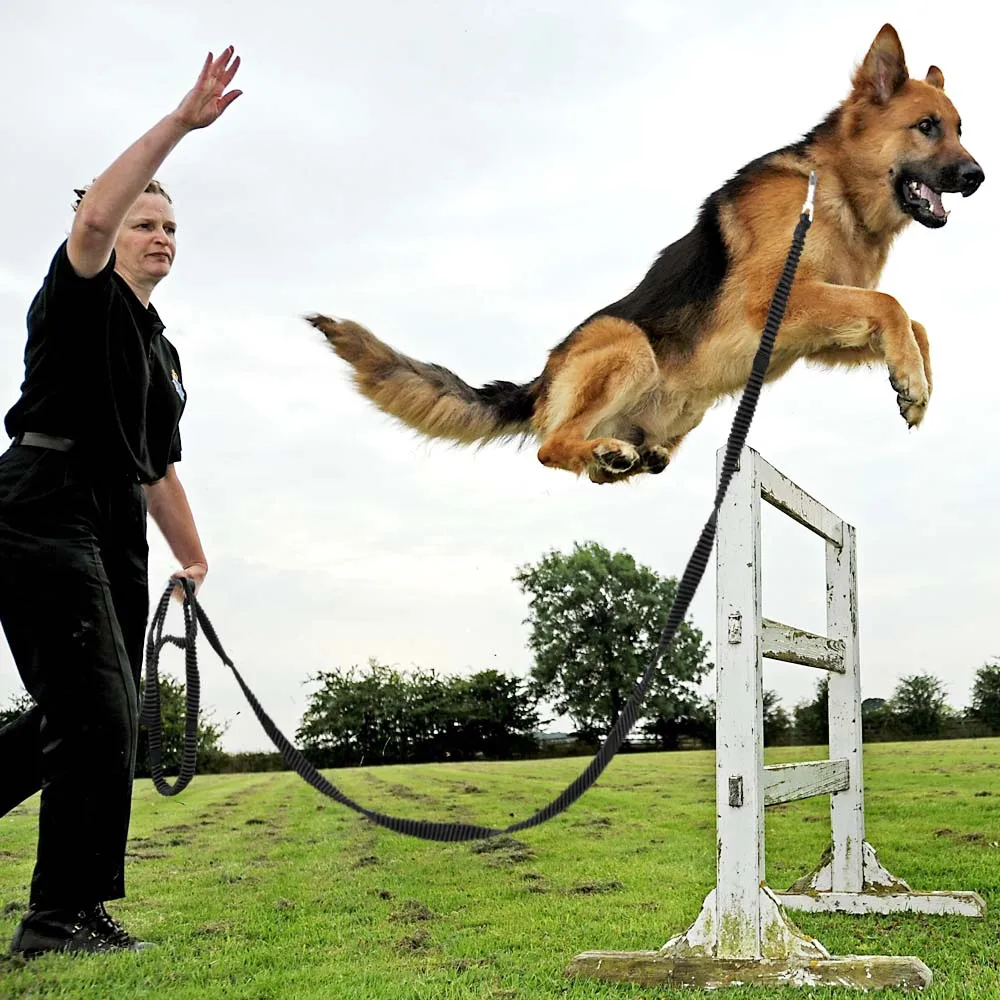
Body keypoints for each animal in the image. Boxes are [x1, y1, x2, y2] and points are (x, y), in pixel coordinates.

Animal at [310, 25, 984, 486]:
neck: (837, 187)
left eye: (959, 129)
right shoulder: (779, 301)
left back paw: (620, 456)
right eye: (927, 126)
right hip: (628, 344)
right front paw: (912, 379)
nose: (977, 177)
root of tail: (539, 383)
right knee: (550, 446)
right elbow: (891, 304)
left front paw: (915, 382)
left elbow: (910, 320)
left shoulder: (813, 330)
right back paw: (602, 449)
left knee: (593, 460)